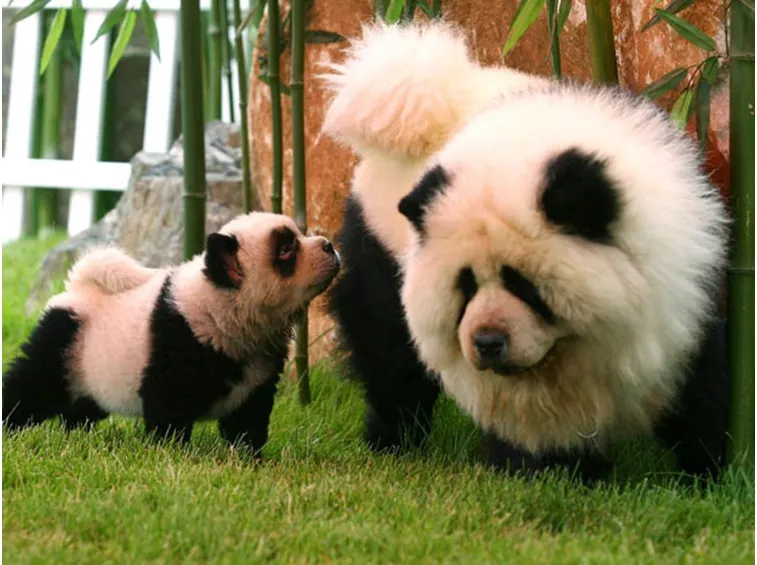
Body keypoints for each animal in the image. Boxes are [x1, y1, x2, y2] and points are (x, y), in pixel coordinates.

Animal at [3, 212, 341, 455]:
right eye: (285, 250)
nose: (329, 245)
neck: (222, 305)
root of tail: (79, 286)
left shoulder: (258, 370)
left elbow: (248, 415)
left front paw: (249, 455)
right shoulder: (180, 340)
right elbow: (168, 406)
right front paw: (171, 452)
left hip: (91, 366)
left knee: (82, 406)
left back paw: (75, 434)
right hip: (64, 342)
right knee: (31, 386)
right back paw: (10, 428)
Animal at [321, 21, 730, 481]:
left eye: (524, 285)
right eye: (465, 286)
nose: (488, 342)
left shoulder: (684, 289)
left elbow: (701, 387)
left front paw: (703, 473)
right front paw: (549, 472)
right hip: (379, 241)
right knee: (388, 355)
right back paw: (392, 441)